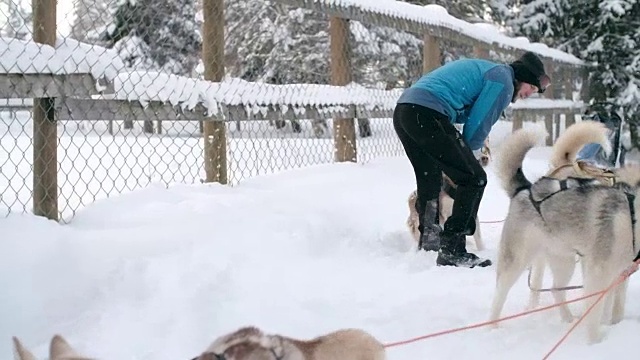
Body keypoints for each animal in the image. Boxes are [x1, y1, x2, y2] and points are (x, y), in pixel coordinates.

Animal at [488, 127, 636, 344]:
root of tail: (527, 189)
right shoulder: (599, 273)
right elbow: (596, 312)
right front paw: (595, 341)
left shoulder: (619, 274)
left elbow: (612, 307)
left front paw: (612, 327)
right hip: (518, 260)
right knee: (500, 293)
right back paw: (492, 327)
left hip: (564, 261)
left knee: (556, 290)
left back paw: (568, 319)